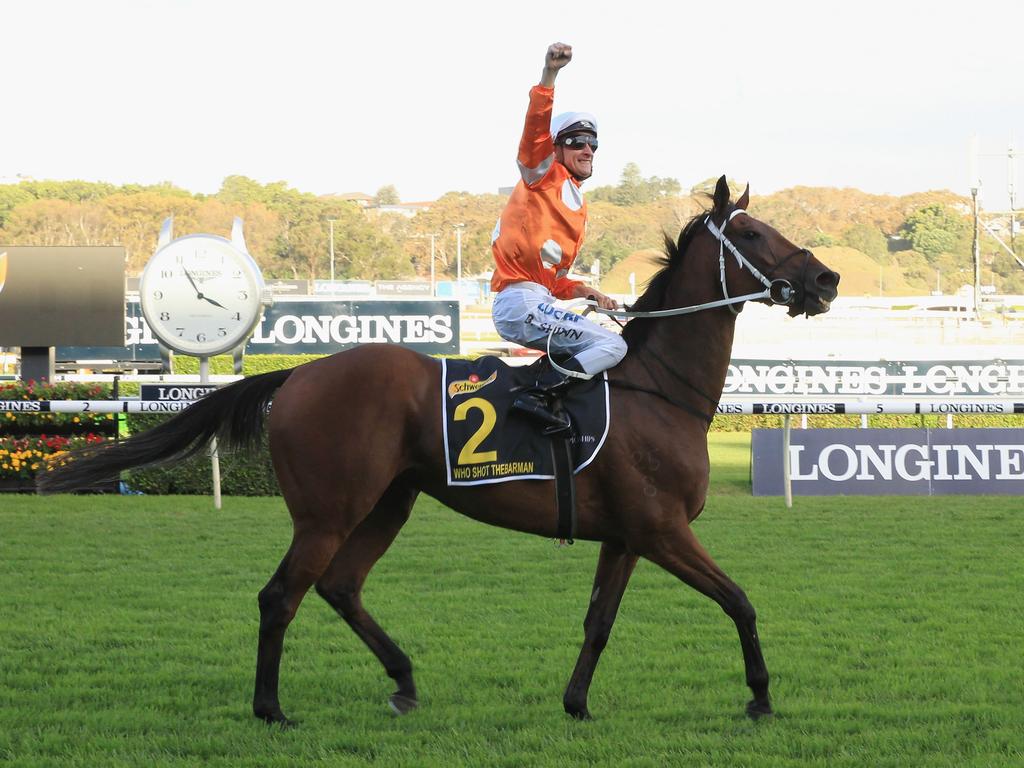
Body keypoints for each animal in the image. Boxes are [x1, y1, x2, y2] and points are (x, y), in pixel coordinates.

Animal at [39, 179, 839, 729]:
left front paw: (576, 702)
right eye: (755, 234)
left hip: (389, 501)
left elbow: (599, 622)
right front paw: (760, 698)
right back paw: (271, 708)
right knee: (282, 594)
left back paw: (403, 680)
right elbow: (740, 601)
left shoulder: (627, 536)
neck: (657, 390)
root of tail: (298, 373)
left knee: (340, 587)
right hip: (329, 510)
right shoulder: (663, 529)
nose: (826, 280)